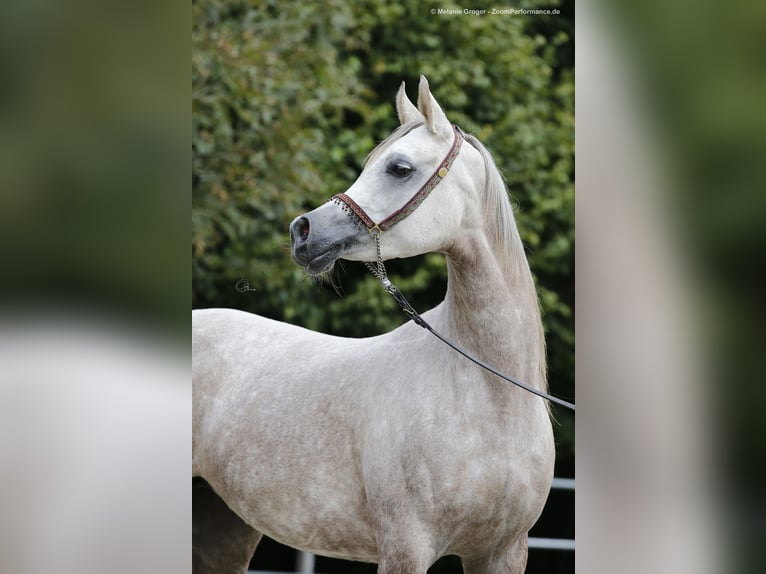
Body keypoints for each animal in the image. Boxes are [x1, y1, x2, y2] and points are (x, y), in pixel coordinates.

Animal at [192, 76, 555, 574]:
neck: (489, 394)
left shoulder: (503, 552)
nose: (302, 231)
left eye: (399, 168)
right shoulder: (406, 547)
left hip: (224, 527)